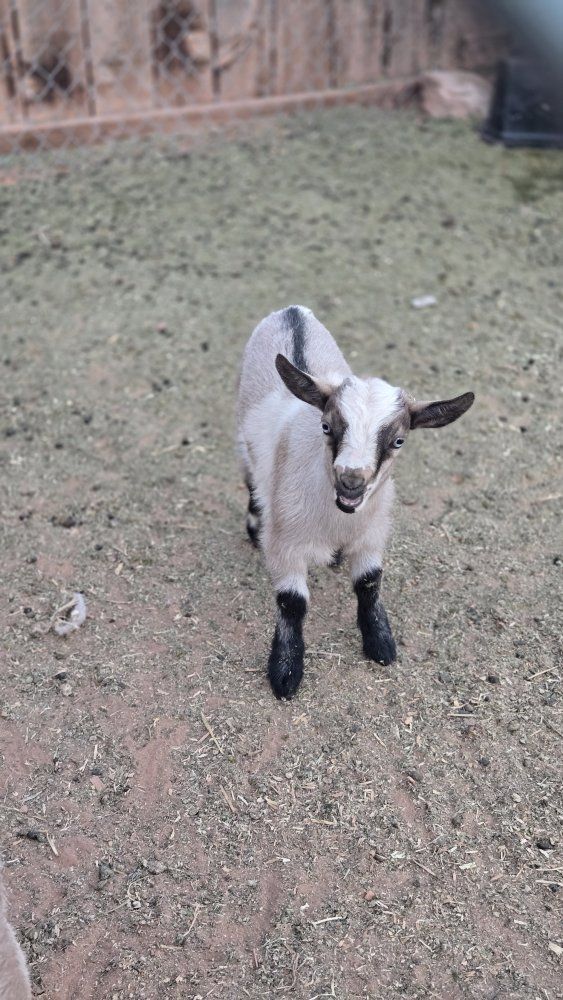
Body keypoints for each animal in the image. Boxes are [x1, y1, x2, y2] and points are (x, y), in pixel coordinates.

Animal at [237, 306, 474, 699]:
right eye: (327, 427)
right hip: (243, 444)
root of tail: (292, 311)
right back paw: (254, 527)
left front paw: (380, 643)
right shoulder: (285, 544)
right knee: (252, 483)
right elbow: (292, 603)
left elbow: (369, 584)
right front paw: (286, 672)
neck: (338, 519)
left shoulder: (371, 534)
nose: (351, 480)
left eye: (398, 441)